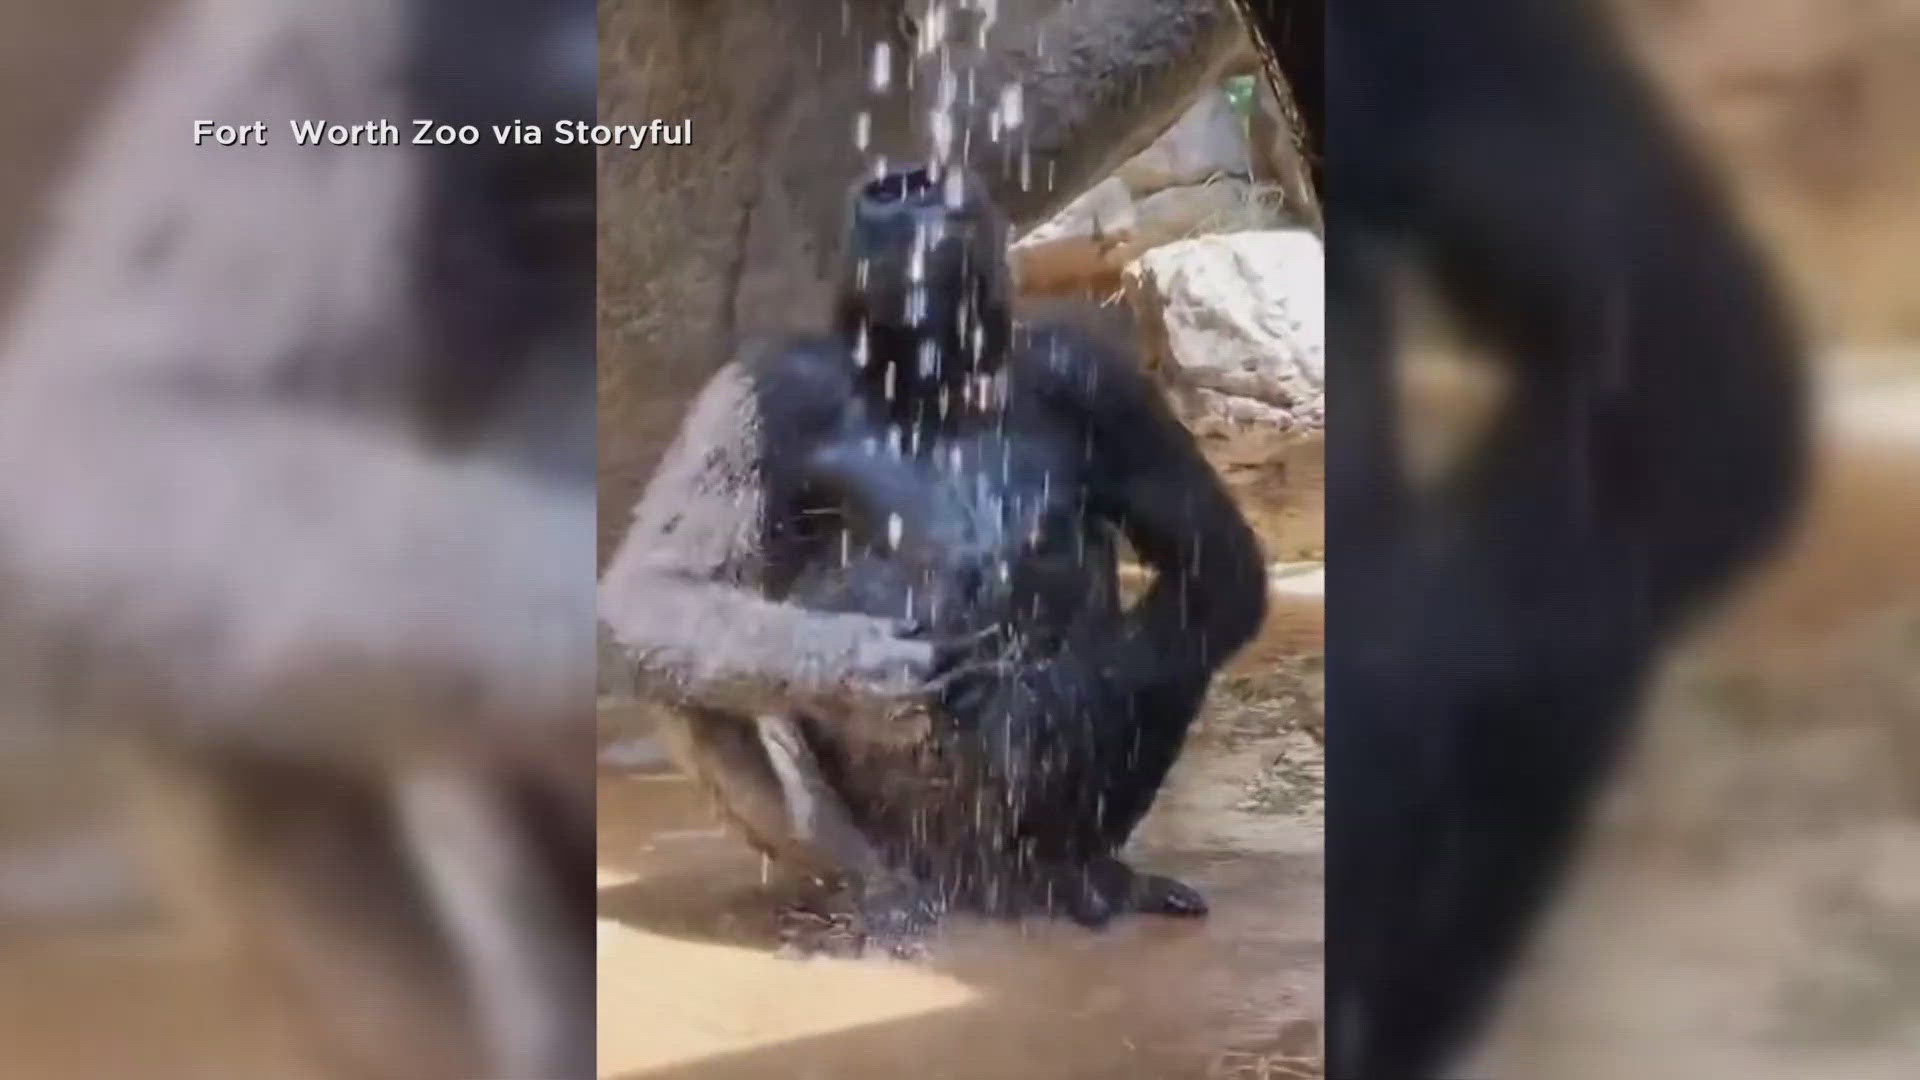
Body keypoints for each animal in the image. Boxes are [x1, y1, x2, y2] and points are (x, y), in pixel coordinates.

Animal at [599, 164, 1259, 945]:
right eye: (890, 191)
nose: (913, 190)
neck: (929, 373)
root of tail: (978, 891)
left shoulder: (1096, 375)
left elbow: (1212, 562)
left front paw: (1046, 699)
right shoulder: (761, 387)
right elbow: (658, 588)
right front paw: (880, 669)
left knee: (1181, 642)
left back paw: (1088, 873)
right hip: (899, 860)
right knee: (701, 678)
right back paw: (868, 898)